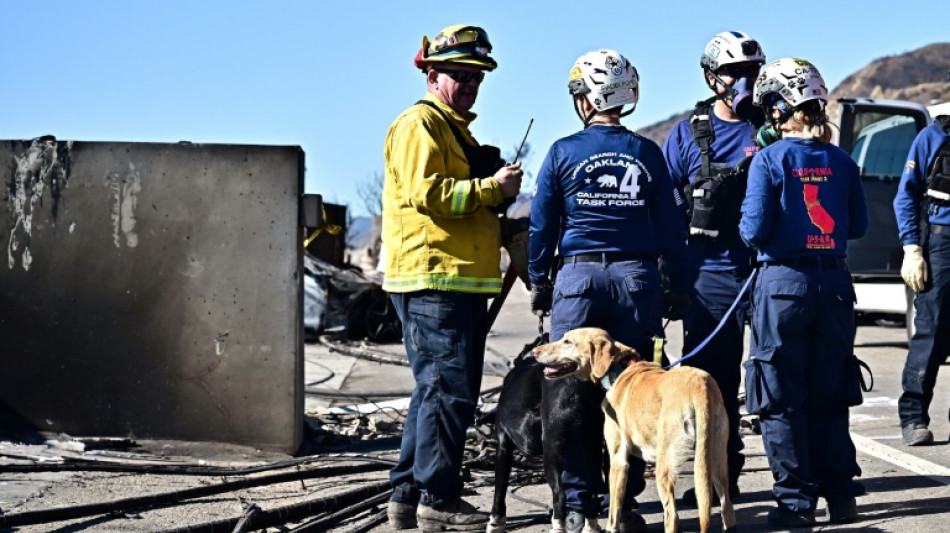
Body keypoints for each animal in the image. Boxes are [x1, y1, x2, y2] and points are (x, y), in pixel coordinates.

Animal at [488, 338, 608, 528]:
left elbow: (499, 490)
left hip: (551, 448)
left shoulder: (503, 445)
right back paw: (591, 527)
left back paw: (558, 526)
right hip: (593, 444)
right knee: (592, 492)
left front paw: (495, 523)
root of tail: (578, 381)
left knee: (559, 495)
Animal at [536, 328, 736, 532]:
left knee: (672, 515)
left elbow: (613, 512)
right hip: (715, 462)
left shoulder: (618, 461)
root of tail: (700, 385)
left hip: (665, 468)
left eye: (567, 341)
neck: (618, 369)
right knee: (727, 508)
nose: (536, 351)